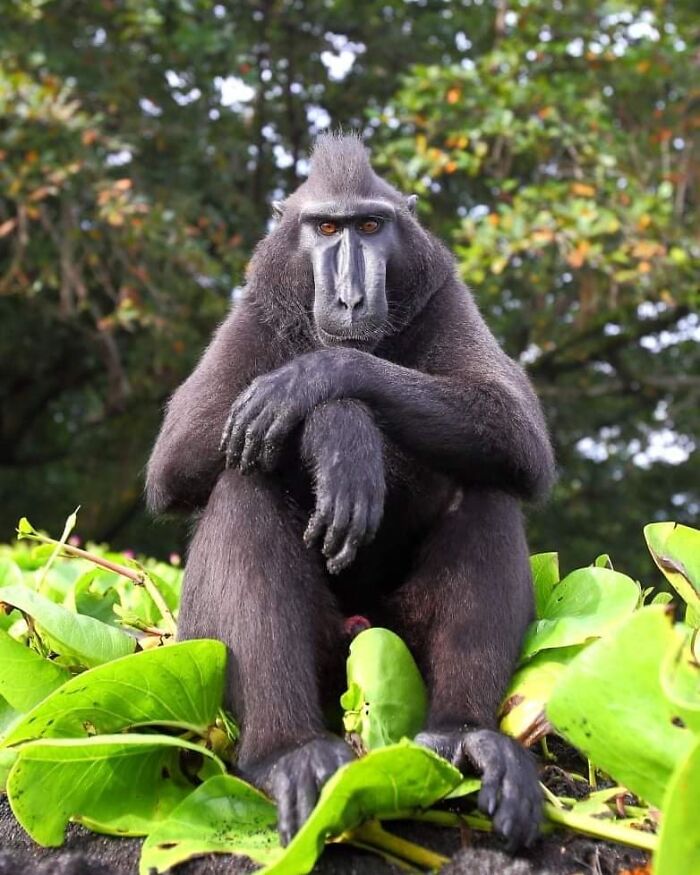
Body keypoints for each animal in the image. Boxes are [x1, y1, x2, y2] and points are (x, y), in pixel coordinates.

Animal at [146, 133, 555, 852]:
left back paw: (464, 737)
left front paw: (319, 385)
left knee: (485, 483)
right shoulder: (253, 313)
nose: (351, 301)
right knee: (243, 482)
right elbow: (179, 456)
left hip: (396, 639)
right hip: (225, 647)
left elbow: (518, 431)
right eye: (326, 229)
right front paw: (336, 429)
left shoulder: (445, 296)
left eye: (369, 227)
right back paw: (288, 752)